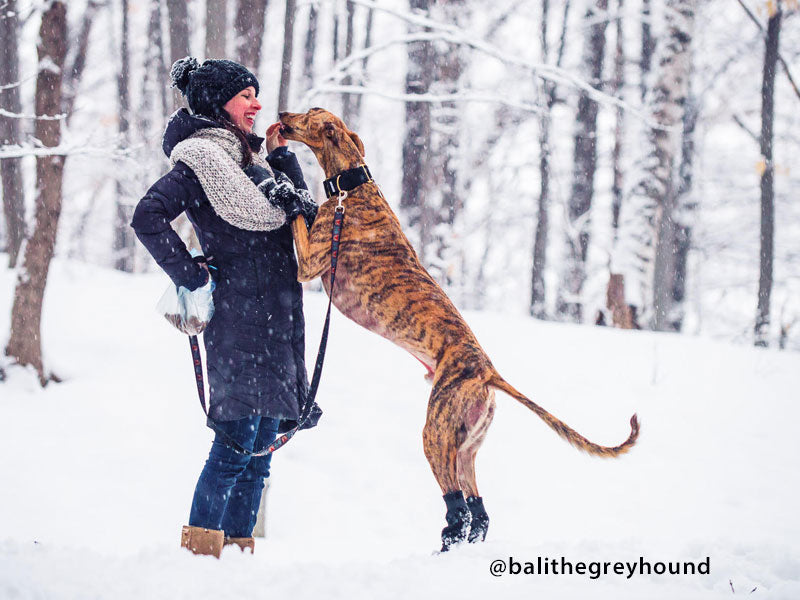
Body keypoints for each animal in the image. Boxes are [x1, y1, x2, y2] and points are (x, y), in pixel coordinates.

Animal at [278, 106, 640, 548]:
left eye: (308, 114)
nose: (281, 114)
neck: (352, 185)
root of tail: (489, 372)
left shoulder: (310, 262)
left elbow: (299, 216)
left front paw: (286, 186)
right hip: (467, 443)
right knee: (477, 509)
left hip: (435, 432)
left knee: (460, 508)